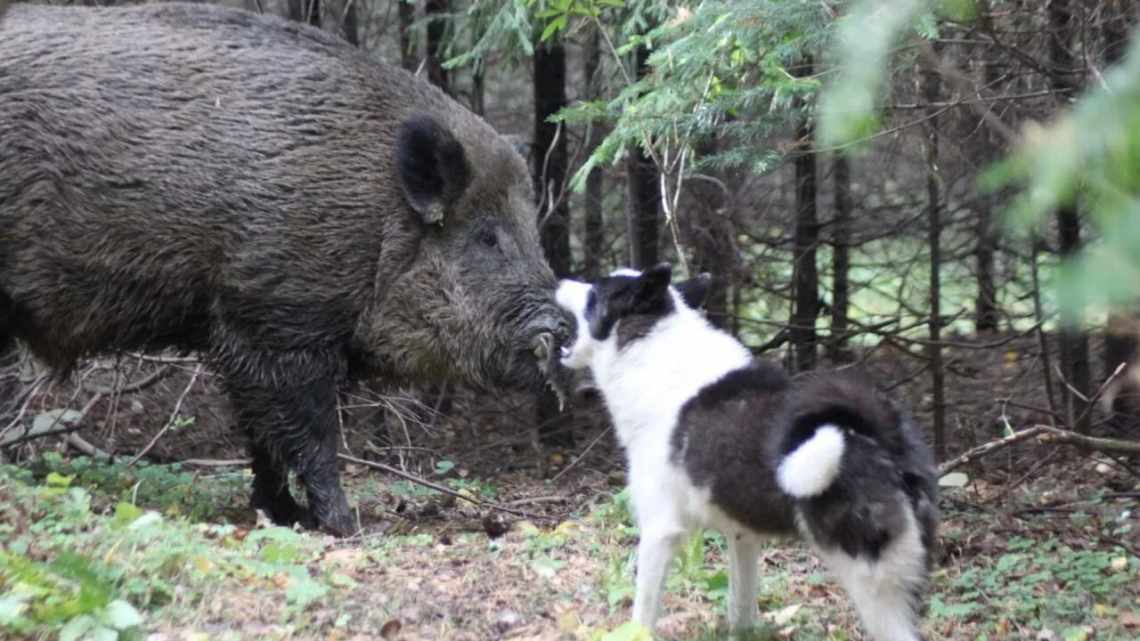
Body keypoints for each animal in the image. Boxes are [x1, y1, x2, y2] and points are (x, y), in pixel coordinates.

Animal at [556, 263, 939, 638]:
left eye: (594, 293)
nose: (558, 281)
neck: (648, 348)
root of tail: (878, 435)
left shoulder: (659, 531)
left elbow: (642, 613)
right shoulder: (742, 535)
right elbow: (740, 606)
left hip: (870, 582)